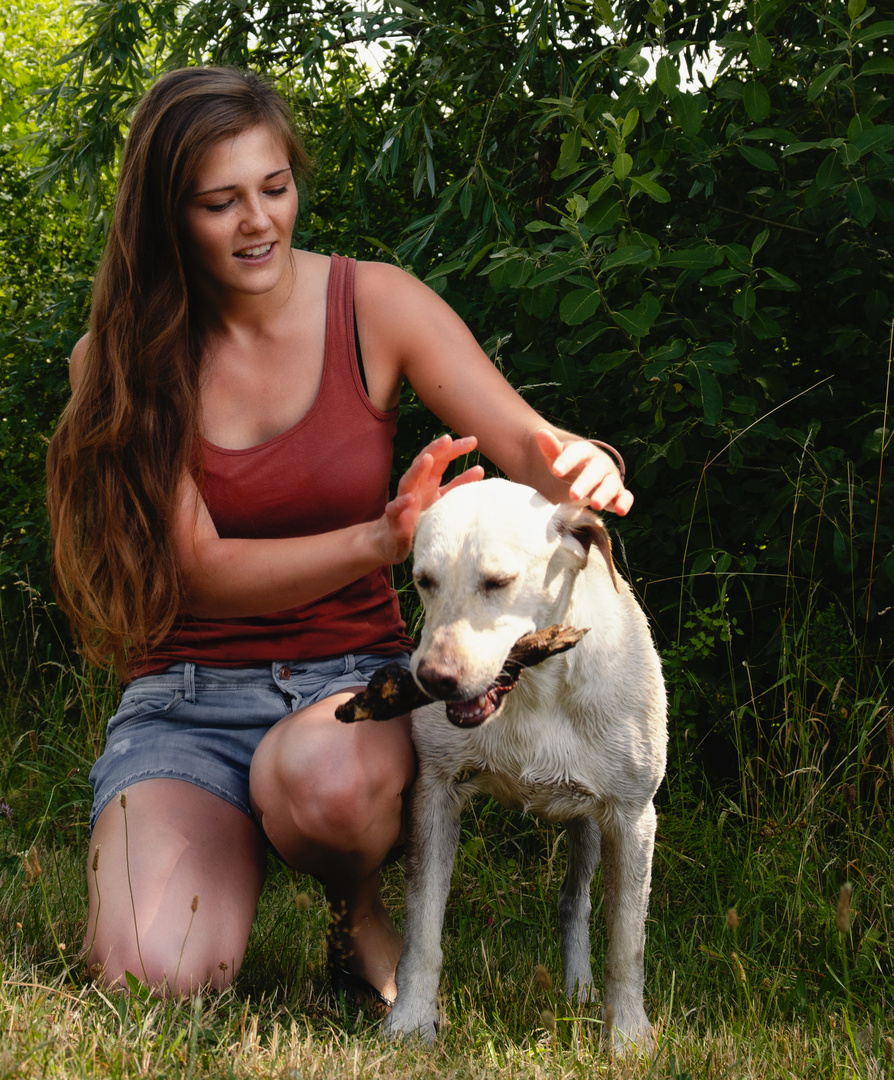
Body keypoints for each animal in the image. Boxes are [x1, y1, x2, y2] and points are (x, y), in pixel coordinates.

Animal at [388, 481, 665, 1054]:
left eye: (499, 582)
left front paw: (628, 1037)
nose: (432, 679)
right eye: (424, 580)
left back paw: (578, 990)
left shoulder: (632, 818)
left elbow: (627, 945)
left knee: (575, 901)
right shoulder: (434, 795)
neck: (534, 690)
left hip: (591, 824)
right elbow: (422, 931)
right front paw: (410, 1021)